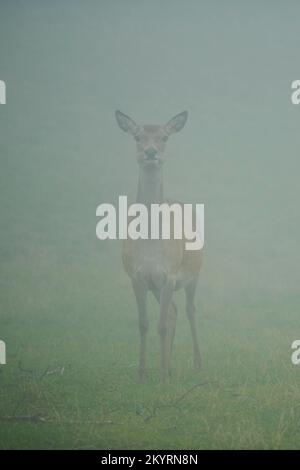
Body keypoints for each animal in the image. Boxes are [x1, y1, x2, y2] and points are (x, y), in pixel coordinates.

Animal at [116, 110, 203, 382]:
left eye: (164, 137)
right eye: (137, 136)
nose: (151, 152)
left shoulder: (170, 275)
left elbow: (161, 325)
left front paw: (163, 376)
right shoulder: (138, 276)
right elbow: (144, 323)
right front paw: (143, 374)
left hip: (194, 273)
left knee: (189, 310)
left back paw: (197, 365)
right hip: (158, 286)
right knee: (174, 311)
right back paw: (171, 364)